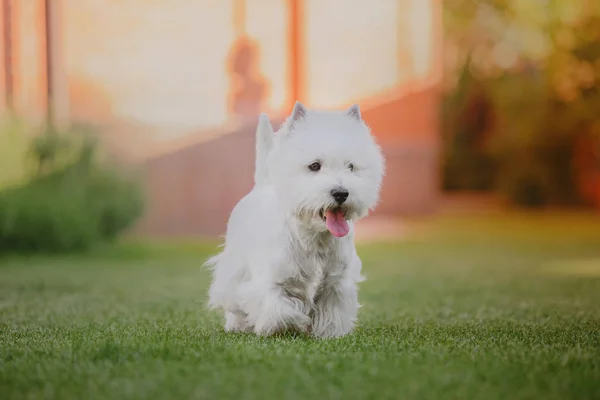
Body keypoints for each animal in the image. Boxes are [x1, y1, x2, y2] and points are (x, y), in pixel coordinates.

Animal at [205, 101, 384, 338]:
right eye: (315, 165)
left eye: (351, 166)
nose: (341, 193)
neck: (315, 238)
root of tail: (262, 184)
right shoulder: (270, 282)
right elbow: (280, 310)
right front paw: (294, 324)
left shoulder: (336, 283)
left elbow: (331, 312)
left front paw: (329, 333)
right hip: (234, 267)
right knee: (233, 299)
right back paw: (236, 325)